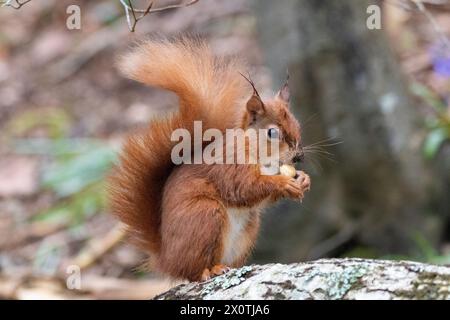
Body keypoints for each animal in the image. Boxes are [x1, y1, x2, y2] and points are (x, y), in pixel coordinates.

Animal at [110, 37, 310, 280]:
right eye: (272, 132)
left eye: (297, 124)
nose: (299, 156)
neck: (258, 154)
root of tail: (167, 259)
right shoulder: (229, 166)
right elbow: (244, 188)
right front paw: (283, 183)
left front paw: (304, 179)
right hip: (205, 216)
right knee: (194, 271)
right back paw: (210, 270)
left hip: (248, 229)